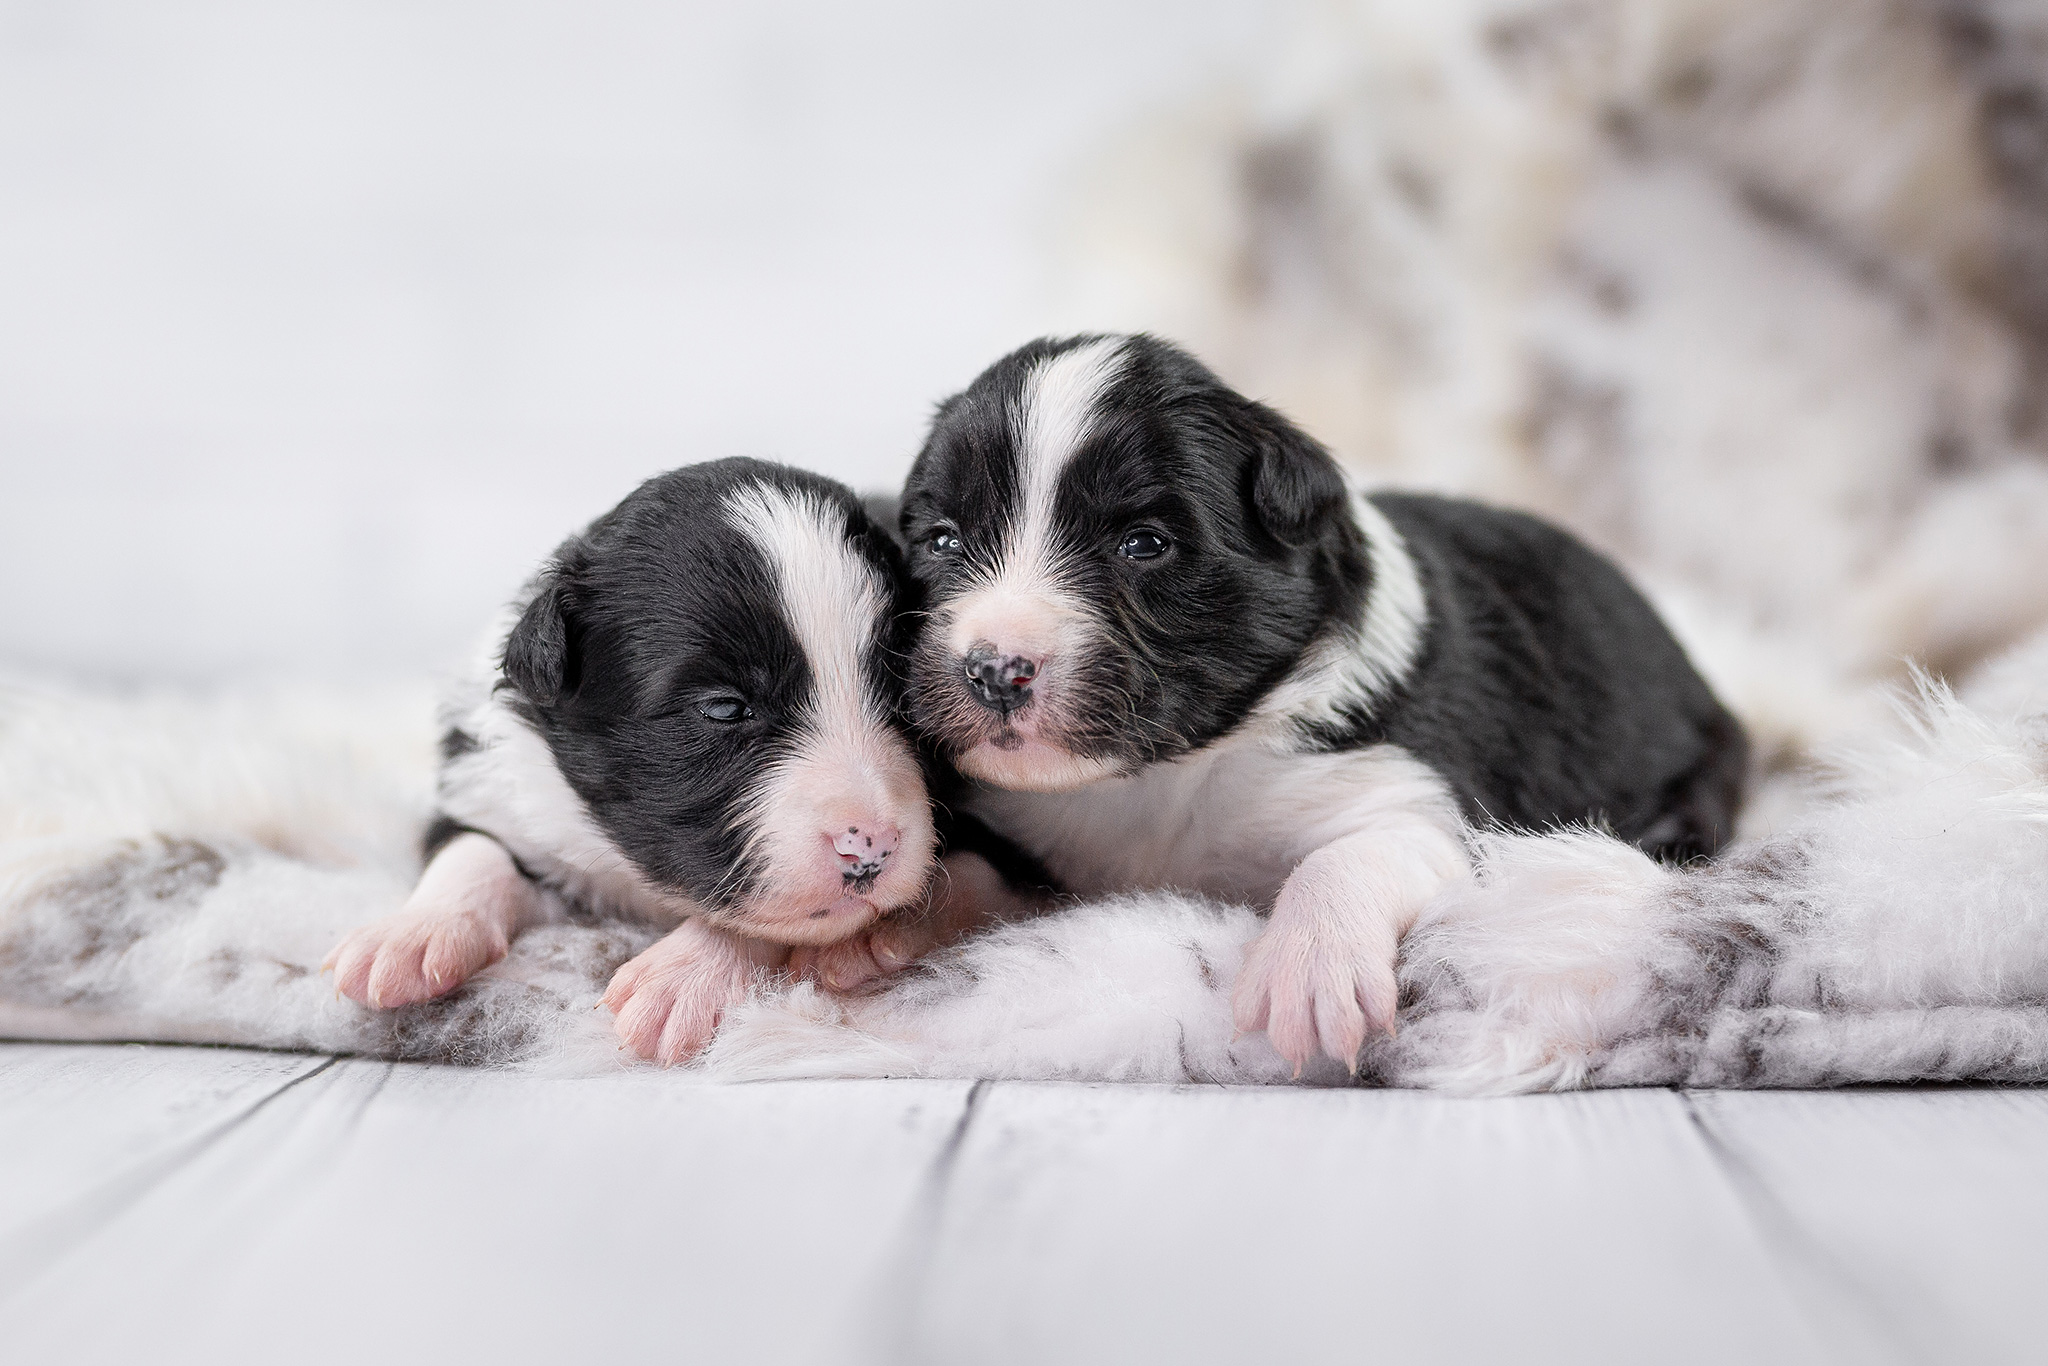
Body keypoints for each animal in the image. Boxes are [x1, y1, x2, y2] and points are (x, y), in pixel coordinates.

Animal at [319, 458, 1007, 1064]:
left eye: (901, 694)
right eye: (724, 708)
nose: (871, 847)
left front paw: (681, 978)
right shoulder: (490, 775)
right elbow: (471, 847)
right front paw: (408, 936)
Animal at [897, 333, 1744, 1081]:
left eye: (1144, 543)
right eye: (942, 541)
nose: (993, 669)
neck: (1161, 776)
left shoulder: (1421, 795)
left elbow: (1354, 853)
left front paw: (1308, 972)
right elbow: (969, 865)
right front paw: (896, 925)